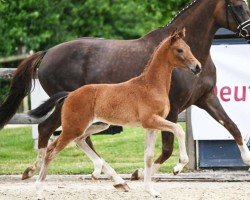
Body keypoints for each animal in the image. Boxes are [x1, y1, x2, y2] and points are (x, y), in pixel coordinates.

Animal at [0, 0, 250, 179]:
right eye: (237, 5)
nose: (249, 32)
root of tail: (47, 53)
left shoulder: (206, 98)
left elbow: (232, 126)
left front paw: (247, 160)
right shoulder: (172, 108)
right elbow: (167, 147)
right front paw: (148, 172)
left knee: (74, 135)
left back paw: (96, 169)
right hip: (68, 105)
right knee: (49, 129)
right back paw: (36, 169)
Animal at [32, 28, 201, 198]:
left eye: (189, 47)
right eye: (179, 50)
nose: (197, 67)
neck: (151, 85)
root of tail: (69, 94)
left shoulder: (150, 126)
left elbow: (148, 157)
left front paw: (151, 191)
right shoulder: (151, 120)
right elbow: (178, 129)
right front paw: (178, 166)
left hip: (98, 125)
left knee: (79, 140)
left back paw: (99, 172)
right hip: (74, 127)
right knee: (52, 151)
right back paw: (39, 191)